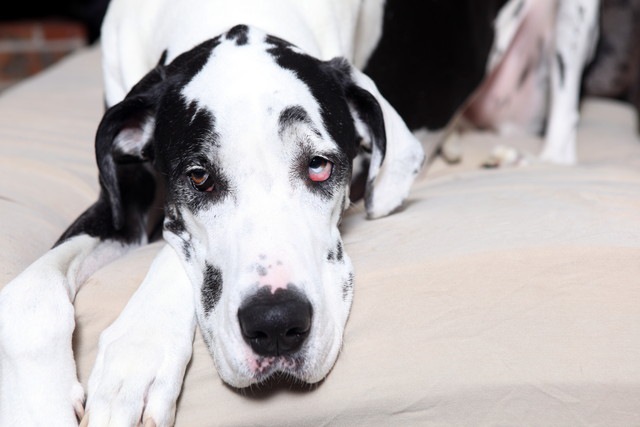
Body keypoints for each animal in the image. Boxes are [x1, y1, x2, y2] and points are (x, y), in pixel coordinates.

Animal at [0, 0, 600, 427]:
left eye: (318, 165)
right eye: (198, 177)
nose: (276, 325)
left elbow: (169, 256)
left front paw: (136, 360)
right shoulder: (121, 206)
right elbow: (27, 296)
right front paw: (35, 404)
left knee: (565, 132)